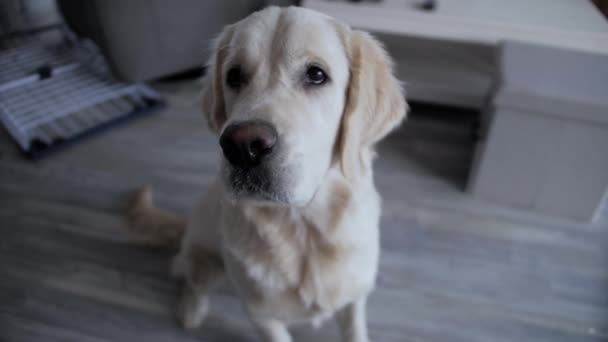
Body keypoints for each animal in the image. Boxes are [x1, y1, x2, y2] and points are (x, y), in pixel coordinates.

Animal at [130, 5, 408, 342]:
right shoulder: (262, 316)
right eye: (234, 76)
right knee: (190, 280)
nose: (242, 146)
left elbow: (355, 330)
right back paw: (190, 311)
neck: (304, 227)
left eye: (317, 74)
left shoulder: (354, 298)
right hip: (206, 261)